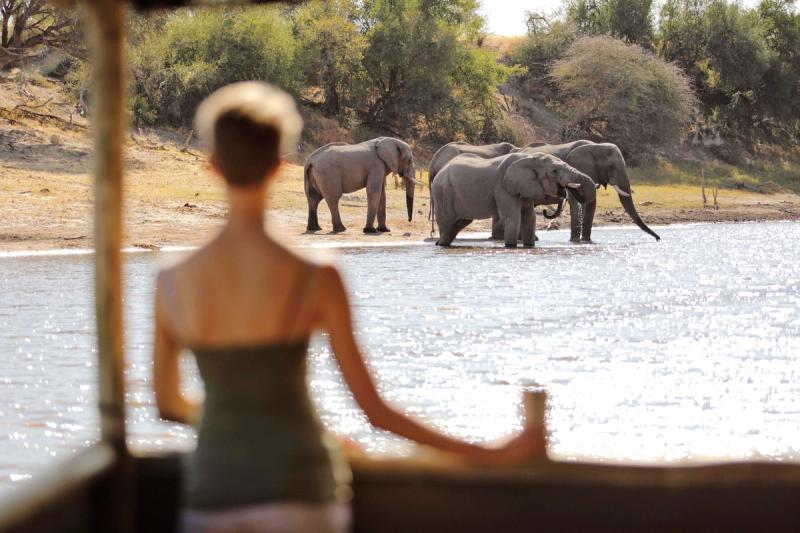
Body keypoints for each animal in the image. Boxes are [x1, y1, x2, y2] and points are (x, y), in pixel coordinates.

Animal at [431, 152, 597, 248]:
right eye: (554, 171)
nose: (545, 211)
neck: (530, 158)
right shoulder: (503, 187)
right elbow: (513, 218)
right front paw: (510, 246)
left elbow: (529, 218)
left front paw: (529, 246)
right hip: (443, 194)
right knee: (447, 223)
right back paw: (441, 245)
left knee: (458, 224)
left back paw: (440, 243)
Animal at [520, 140, 661, 242]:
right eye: (611, 167)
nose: (658, 239)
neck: (595, 146)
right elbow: (577, 202)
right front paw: (575, 241)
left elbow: (592, 203)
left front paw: (586, 241)